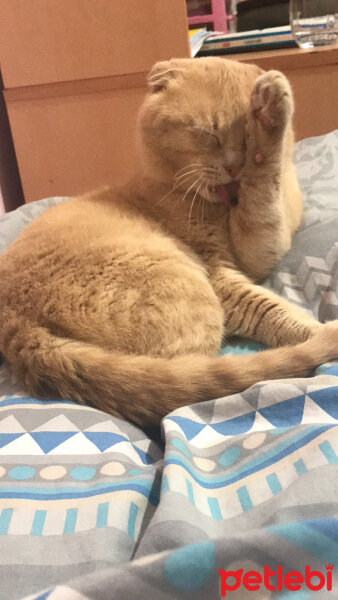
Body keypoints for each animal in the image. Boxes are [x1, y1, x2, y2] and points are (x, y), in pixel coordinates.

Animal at [0, 55, 338, 422]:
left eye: (245, 140)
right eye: (208, 134)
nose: (234, 167)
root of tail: (20, 326)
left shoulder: (261, 246)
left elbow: (266, 196)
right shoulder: (224, 274)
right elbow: (274, 308)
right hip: (193, 300)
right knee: (192, 375)